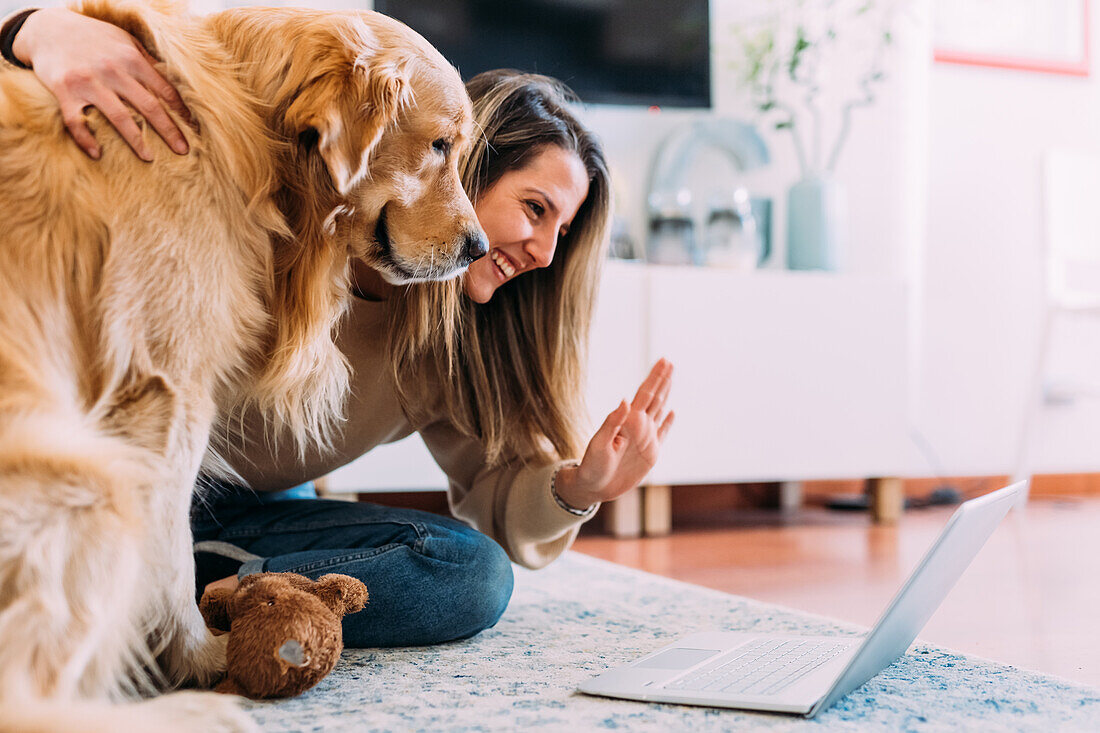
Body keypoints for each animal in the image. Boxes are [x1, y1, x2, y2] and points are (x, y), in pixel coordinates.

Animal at [0, 2, 486, 726]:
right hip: (93, 479)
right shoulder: (166, 391)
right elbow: (171, 553)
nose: (480, 248)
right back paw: (187, 712)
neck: (245, 128)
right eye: (439, 146)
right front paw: (200, 655)